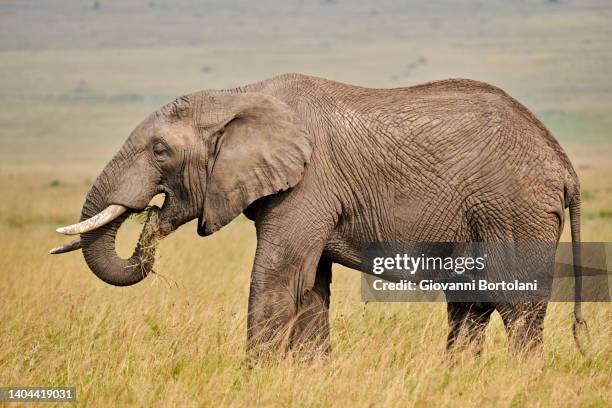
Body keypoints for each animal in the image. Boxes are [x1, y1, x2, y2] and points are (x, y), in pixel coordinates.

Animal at [52, 73, 588, 356]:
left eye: (160, 151)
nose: (151, 220)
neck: (236, 95)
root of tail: (564, 164)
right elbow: (310, 287)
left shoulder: (309, 184)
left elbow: (278, 277)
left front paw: (256, 379)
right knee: (470, 303)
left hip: (515, 209)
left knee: (515, 305)